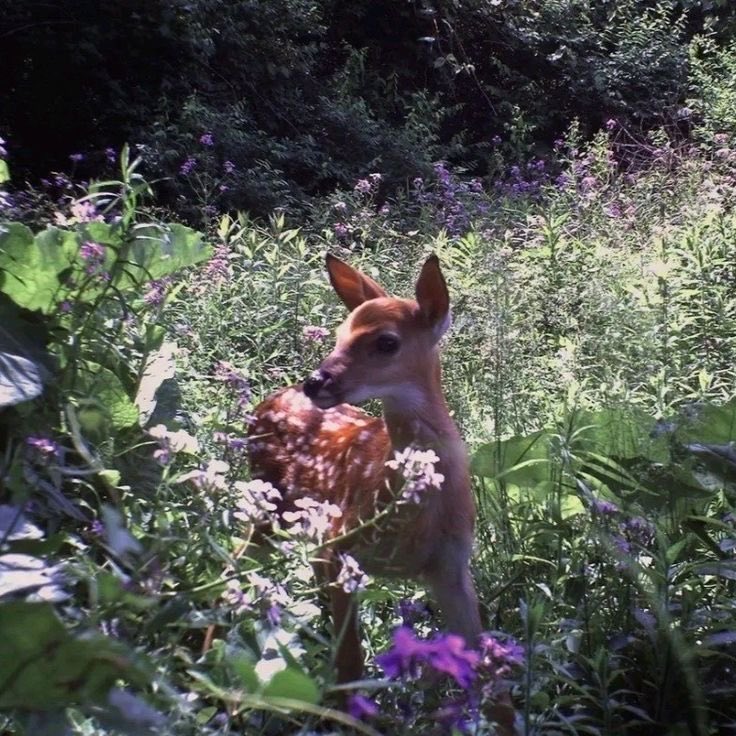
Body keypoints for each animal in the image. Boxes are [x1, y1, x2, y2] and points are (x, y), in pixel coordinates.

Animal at [247, 254, 515, 732]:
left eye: (387, 342)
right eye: (339, 333)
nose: (315, 381)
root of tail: (268, 401)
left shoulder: (451, 568)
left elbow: (492, 674)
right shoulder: (341, 545)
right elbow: (350, 665)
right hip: (264, 514)